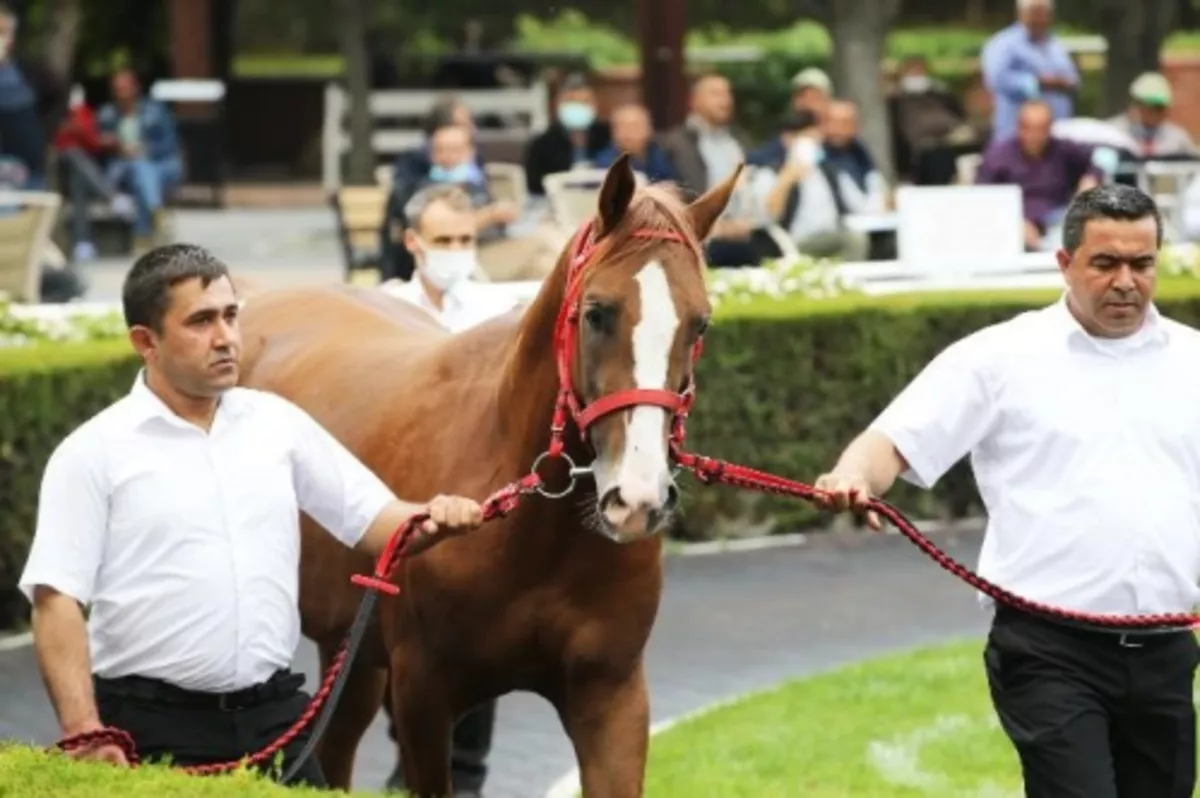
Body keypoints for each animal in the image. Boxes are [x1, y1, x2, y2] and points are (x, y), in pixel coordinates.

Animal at [235, 152, 739, 792]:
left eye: (700, 324)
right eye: (597, 312)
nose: (639, 499)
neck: (535, 535)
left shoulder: (612, 694)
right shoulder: (423, 695)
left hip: (349, 653)